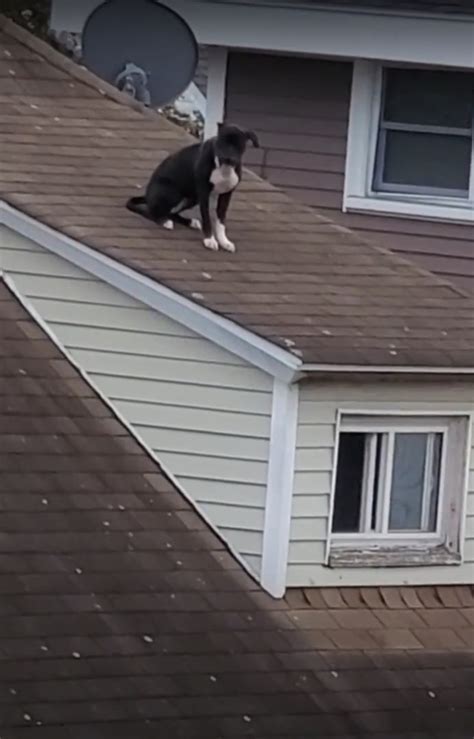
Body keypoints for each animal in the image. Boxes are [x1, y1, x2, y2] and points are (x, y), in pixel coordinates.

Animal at [126, 123, 260, 254]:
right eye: (222, 141)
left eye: (238, 144)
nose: (227, 157)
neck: (224, 168)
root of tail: (147, 196)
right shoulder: (204, 194)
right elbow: (207, 219)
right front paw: (209, 240)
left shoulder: (226, 195)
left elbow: (221, 222)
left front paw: (224, 241)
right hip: (172, 193)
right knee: (152, 211)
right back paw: (164, 221)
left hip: (192, 199)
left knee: (171, 213)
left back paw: (189, 222)